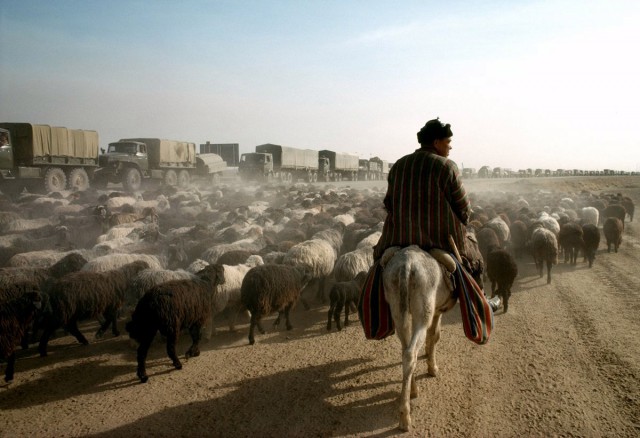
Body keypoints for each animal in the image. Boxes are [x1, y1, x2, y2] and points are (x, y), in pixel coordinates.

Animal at [380, 245, 456, 432]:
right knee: (411, 351)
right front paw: (432, 368)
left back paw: (411, 391)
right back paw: (405, 417)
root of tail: (406, 264)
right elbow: (434, 336)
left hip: (398, 310)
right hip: (423, 312)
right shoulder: (437, 312)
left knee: (405, 350)